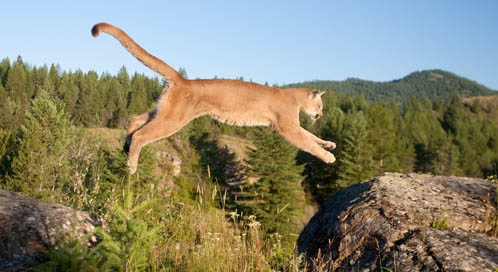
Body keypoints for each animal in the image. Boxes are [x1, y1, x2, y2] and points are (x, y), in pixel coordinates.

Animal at [91, 22, 336, 173]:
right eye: (320, 105)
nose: (321, 115)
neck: (295, 97)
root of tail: (182, 79)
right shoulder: (288, 127)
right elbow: (307, 142)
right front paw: (328, 157)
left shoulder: (291, 126)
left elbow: (312, 137)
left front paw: (329, 144)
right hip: (174, 118)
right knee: (142, 135)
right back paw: (131, 166)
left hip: (163, 111)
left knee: (135, 120)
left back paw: (126, 147)